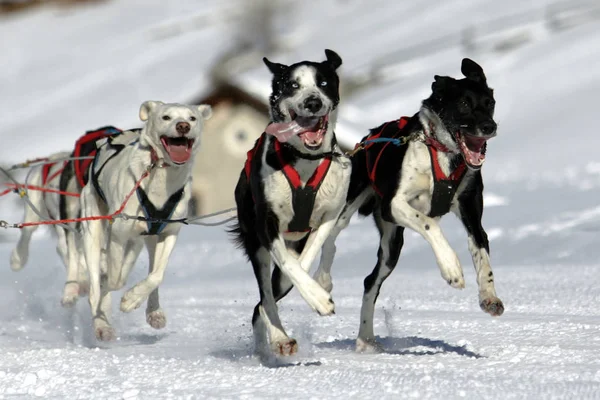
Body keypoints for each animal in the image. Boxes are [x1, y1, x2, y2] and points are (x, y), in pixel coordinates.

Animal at [79, 101, 211, 340]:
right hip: (93, 230)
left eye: (192, 118)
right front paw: (112, 297)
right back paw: (101, 324)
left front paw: (132, 299)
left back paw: (153, 311)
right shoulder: (118, 235)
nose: (183, 126)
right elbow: (113, 281)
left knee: (147, 269)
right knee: (97, 285)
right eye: (166, 117)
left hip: (145, 240)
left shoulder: (168, 234)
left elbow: (156, 275)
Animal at [230, 48, 352, 358]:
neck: (305, 160)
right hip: (256, 245)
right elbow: (286, 265)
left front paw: (314, 289)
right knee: (264, 298)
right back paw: (278, 338)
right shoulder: (266, 225)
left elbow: (303, 261)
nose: (313, 102)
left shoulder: (328, 215)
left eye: (323, 83)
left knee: (265, 300)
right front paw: (319, 300)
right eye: (292, 85)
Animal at [314, 57, 506, 352]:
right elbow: (430, 225)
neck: (441, 152)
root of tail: (368, 138)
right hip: (348, 209)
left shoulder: (471, 213)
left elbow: (481, 254)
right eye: (464, 103)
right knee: (331, 239)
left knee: (370, 282)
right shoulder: (393, 205)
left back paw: (365, 339)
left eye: (490, 103)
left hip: (392, 246)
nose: (489, 127)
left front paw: (489, 297)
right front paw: (451, 268)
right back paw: (323, 283)